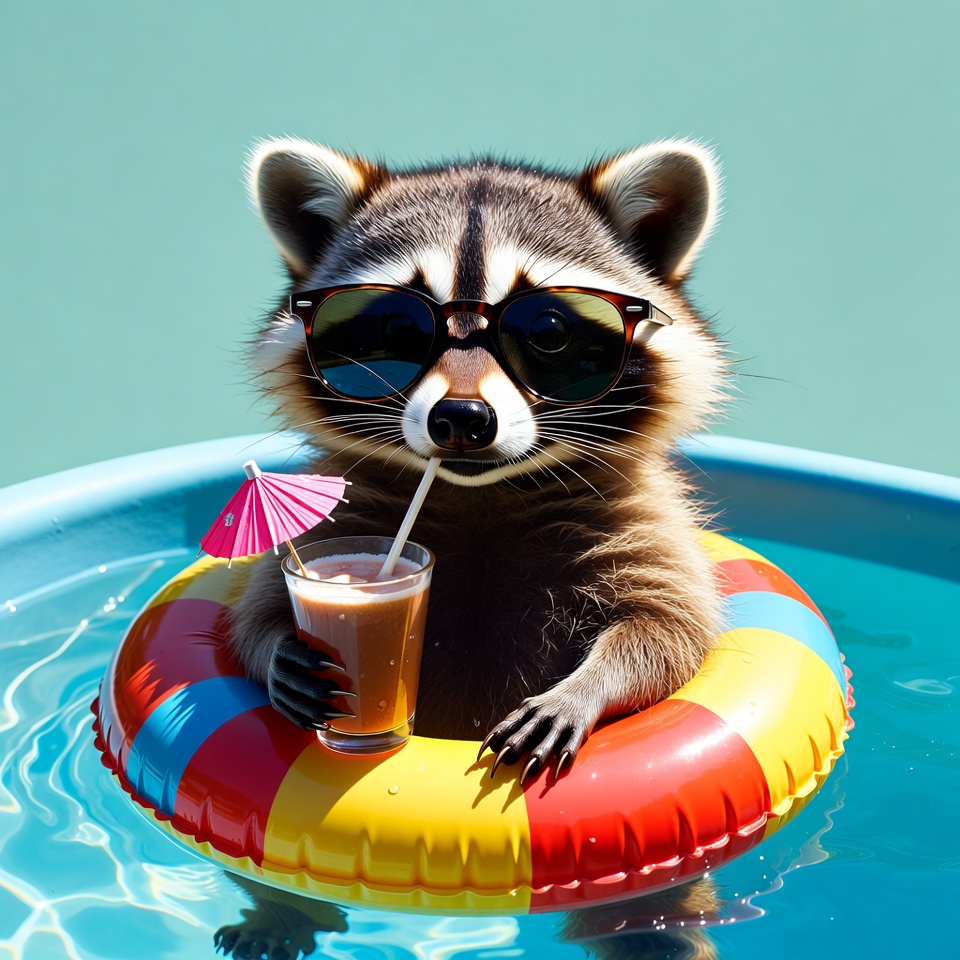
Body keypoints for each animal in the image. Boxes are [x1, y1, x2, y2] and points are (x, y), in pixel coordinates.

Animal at [229, 136, 727, 781]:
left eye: (549, 331)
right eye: (398, 328)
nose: (461, 417)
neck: (481, 496)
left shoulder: (640, 519)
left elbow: (671, 626)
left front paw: (584, 688)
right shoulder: (342, 509)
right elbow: (253, 614)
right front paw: (275, 650)